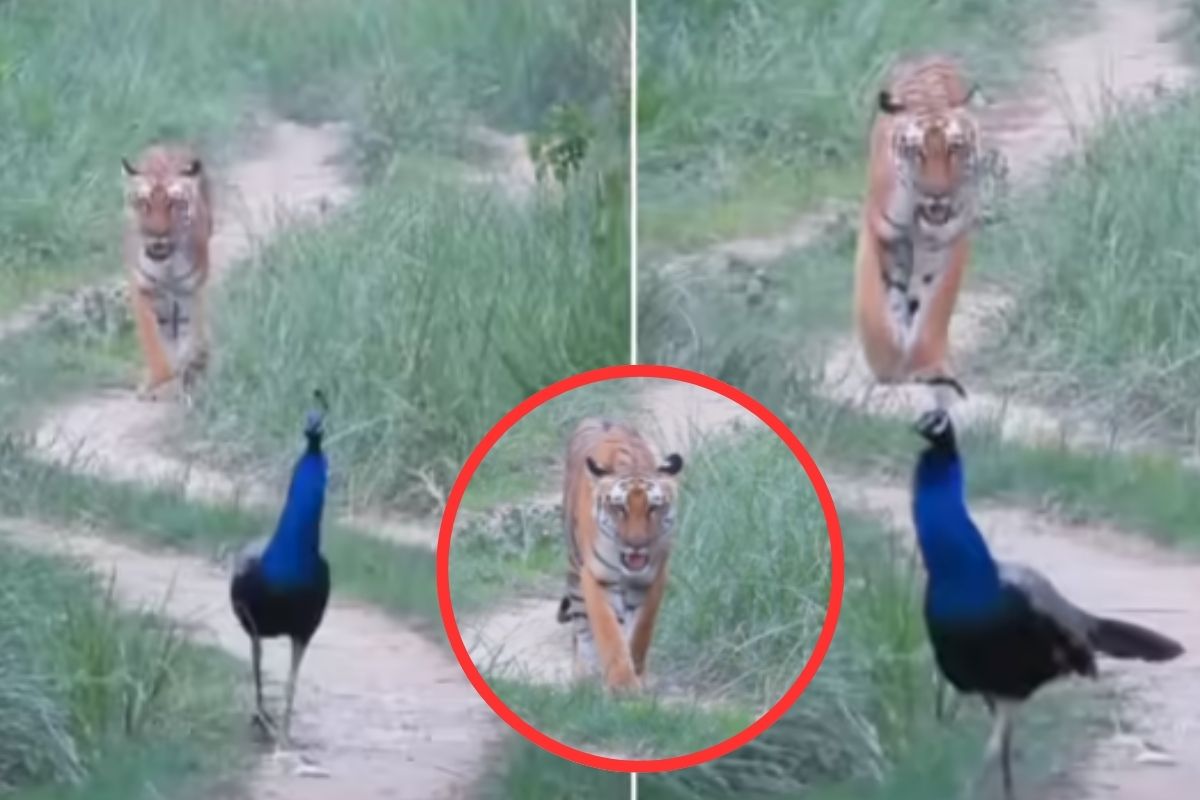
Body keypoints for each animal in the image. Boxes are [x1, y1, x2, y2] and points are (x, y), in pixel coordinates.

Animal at [121, 144, 213, 401]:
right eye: (144, 205)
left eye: (173, 204)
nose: (158, 234)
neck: (167, 266)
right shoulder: (143, 290)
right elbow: (153, 342)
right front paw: (159, 381)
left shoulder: (190, 292)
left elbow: (190, 336)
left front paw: (189, 371)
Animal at [556, 418, 684, 691]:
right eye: (619, 508)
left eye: (653, 507)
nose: (636, 544)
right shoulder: (596, 577)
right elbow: (609, 631)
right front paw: (622, 685)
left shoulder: (653, 578)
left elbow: (641, 630)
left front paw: (636, 673)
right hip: (575, 572)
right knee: (581, 628)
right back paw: (585, 675)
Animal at [853, 55, 981, 407]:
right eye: (917, 151)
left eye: (955, 149)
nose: (937, 194)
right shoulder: (883, 234)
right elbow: (878, 306)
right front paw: (888, 364)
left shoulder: (948, 240)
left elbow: (933, 307)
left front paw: (927, 366)